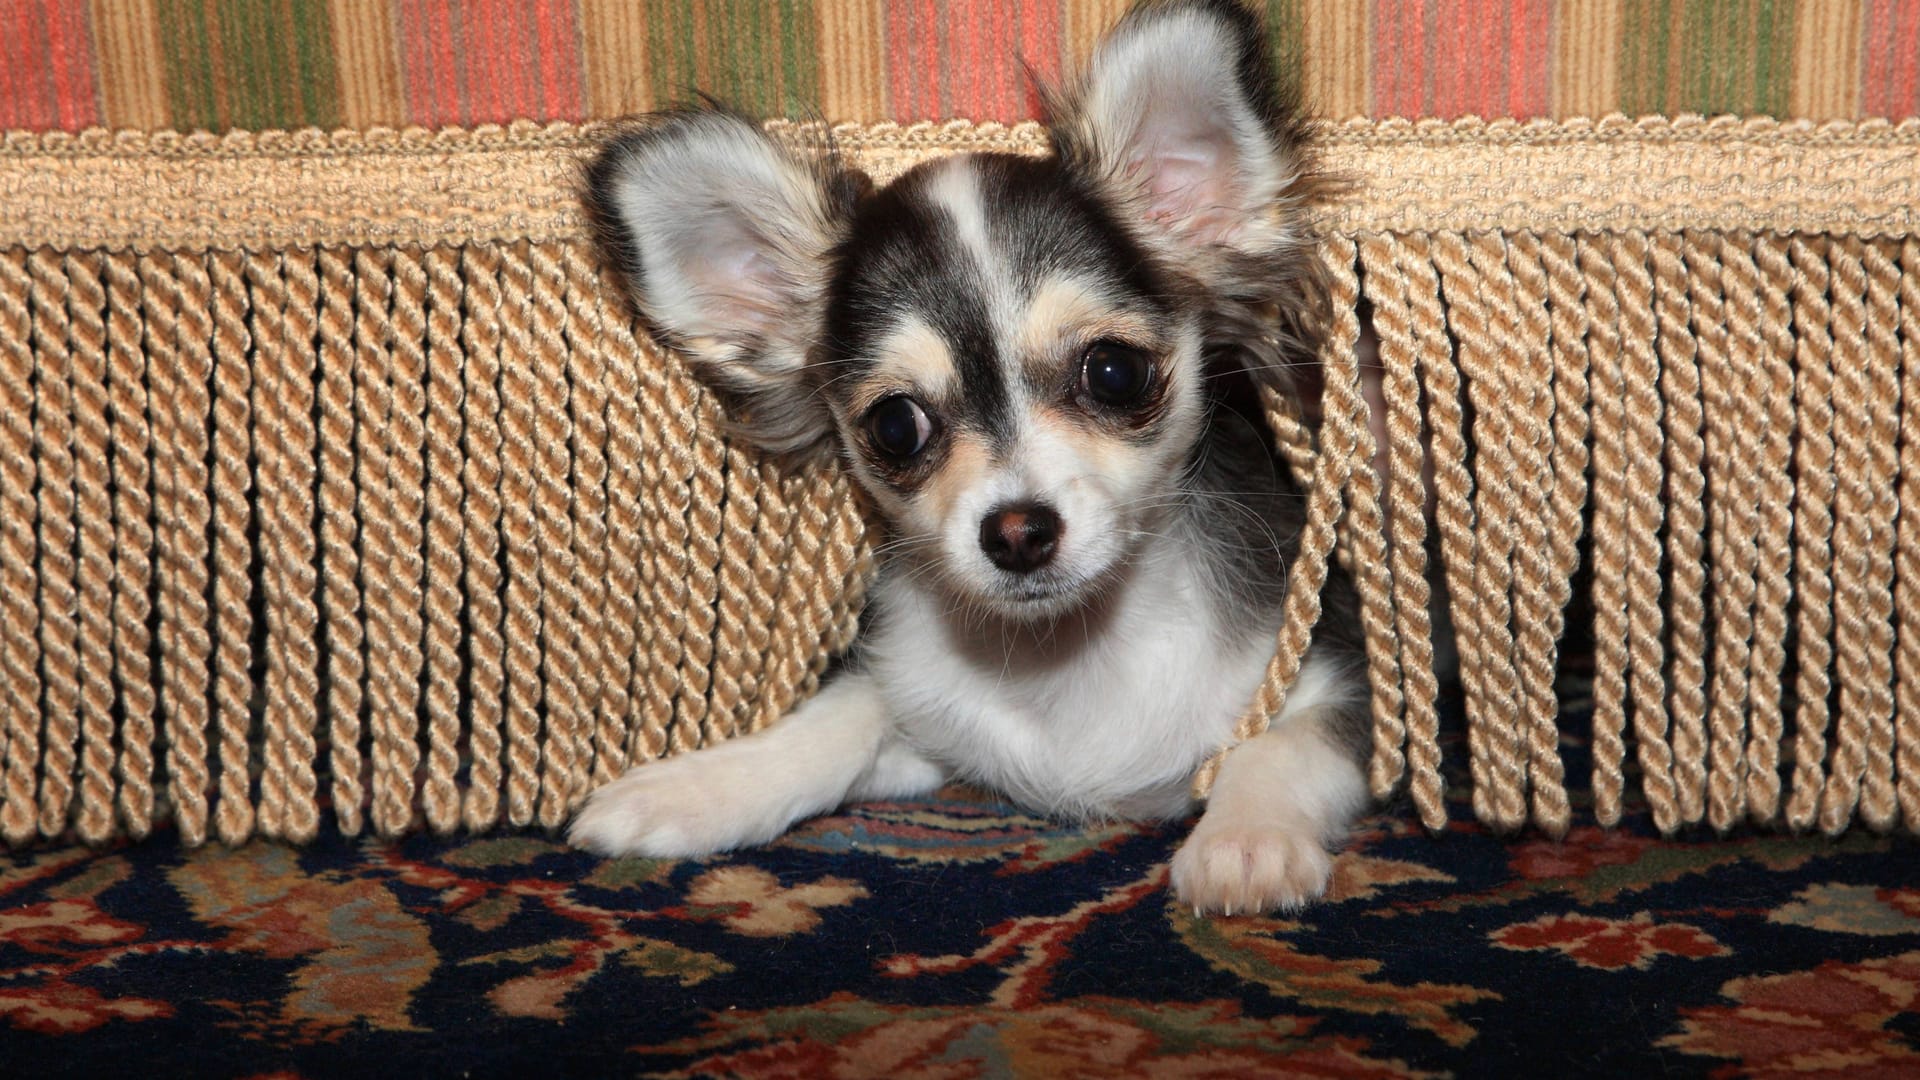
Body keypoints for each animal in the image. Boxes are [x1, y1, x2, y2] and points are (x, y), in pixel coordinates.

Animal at [560, 0, 1374, 914]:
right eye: (895, 427)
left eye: (1114, 372)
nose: (1017, 533)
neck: (1067, 659)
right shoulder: (931, 725)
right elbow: (842, 714)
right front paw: (695, 789)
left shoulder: (1347, 679)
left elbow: (1287, 745)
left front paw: (1246, 841)